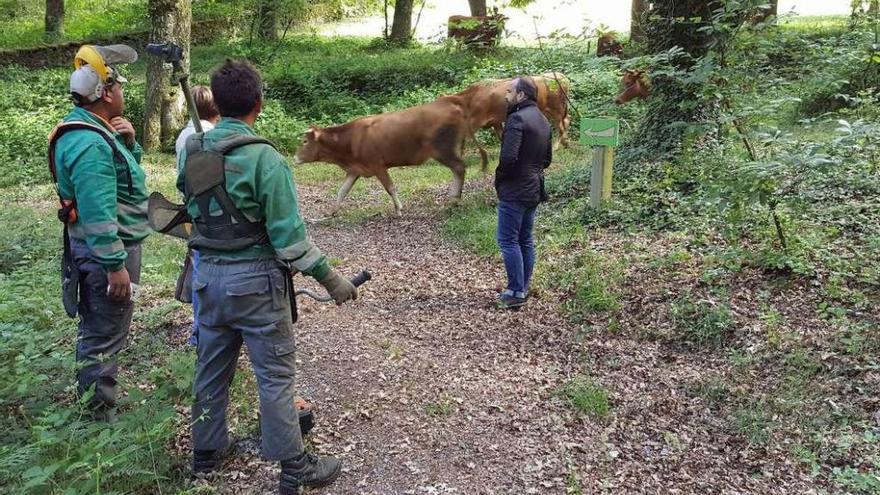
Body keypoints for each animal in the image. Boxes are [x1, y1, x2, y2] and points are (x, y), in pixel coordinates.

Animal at [294, 95, 484, 215]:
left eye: (304, 141)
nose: (295, 158)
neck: (351, 139)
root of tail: (449, 101)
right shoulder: (355, 170)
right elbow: (342, 191)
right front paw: (332, 210)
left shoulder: (377, 165)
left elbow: (390, 187)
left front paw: (399, 209)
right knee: (458, 169)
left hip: (443, 149)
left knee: (459, 168)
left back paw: (454, 199)